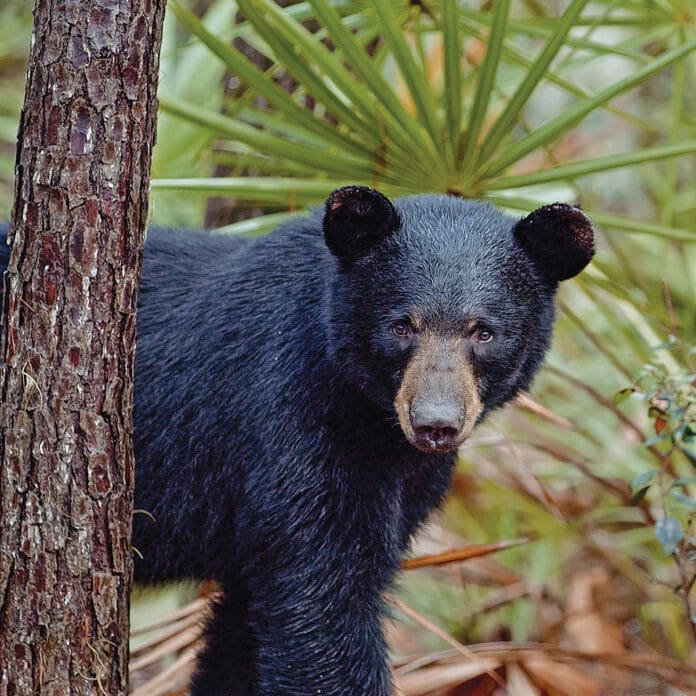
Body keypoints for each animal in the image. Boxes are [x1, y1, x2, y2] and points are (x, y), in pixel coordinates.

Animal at [0, 187, 594, 695]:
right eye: (402, 326)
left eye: (484, 331)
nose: (435, 423)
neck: (375, 421)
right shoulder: (291, 416)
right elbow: (322, 602)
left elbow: (247, 624)